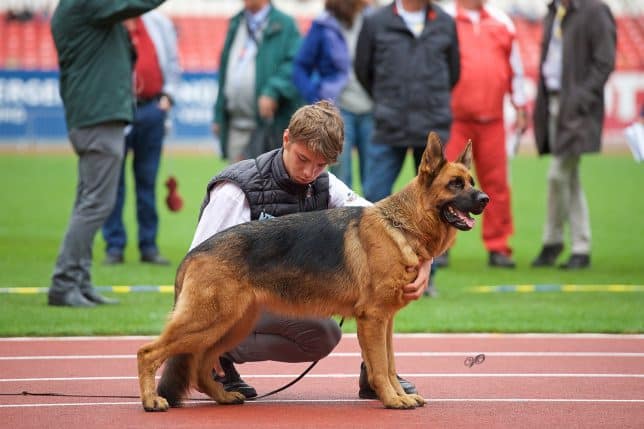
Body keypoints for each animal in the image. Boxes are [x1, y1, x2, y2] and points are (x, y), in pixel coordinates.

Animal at [137, 132, 488, 410]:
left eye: (471, 182)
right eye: (455, 184)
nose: (486, 199)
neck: (401, 225)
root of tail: (194, 253)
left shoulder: (385, 322)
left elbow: (388, 364)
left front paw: (397, 395)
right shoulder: (373, 320)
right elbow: (379, 366)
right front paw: (391, 399)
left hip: (229, 325)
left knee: (200, 366)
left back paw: (223, 396)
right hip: (207, 321)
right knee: (147, 352)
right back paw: (151, 400)